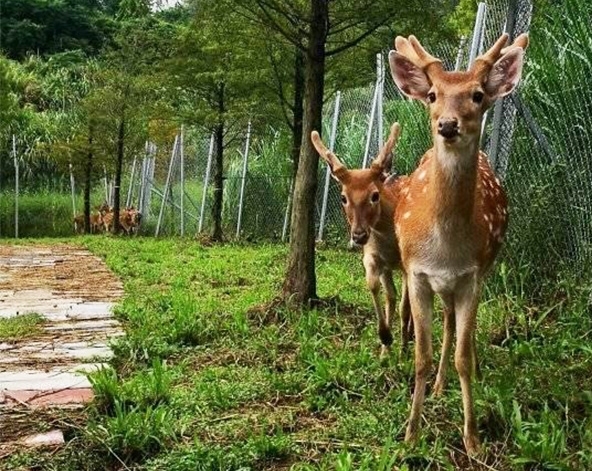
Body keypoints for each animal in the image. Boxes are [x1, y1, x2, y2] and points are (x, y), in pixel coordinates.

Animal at [310, 123, 412, 360]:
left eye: (374, 195)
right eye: (343, 197)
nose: (358, 236)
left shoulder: (407, 263)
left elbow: (405, 307)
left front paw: (403, 348)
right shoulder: (372, 257)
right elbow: (373, 286)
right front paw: (385, 337)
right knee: (391, 296)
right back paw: (386, 350)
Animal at [388, 33, 528, 454]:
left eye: (478, 95)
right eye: (433, 94)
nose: (448, 125)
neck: (446, 247)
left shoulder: (472, 275)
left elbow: (463, 355)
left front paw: (473, 439)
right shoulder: (417, 274)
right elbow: (421, 355)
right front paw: (411, 434)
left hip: (475, 275)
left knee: (458, 329)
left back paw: (465, 376)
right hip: (439, 286)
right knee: (447, 325)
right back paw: (437, 386)